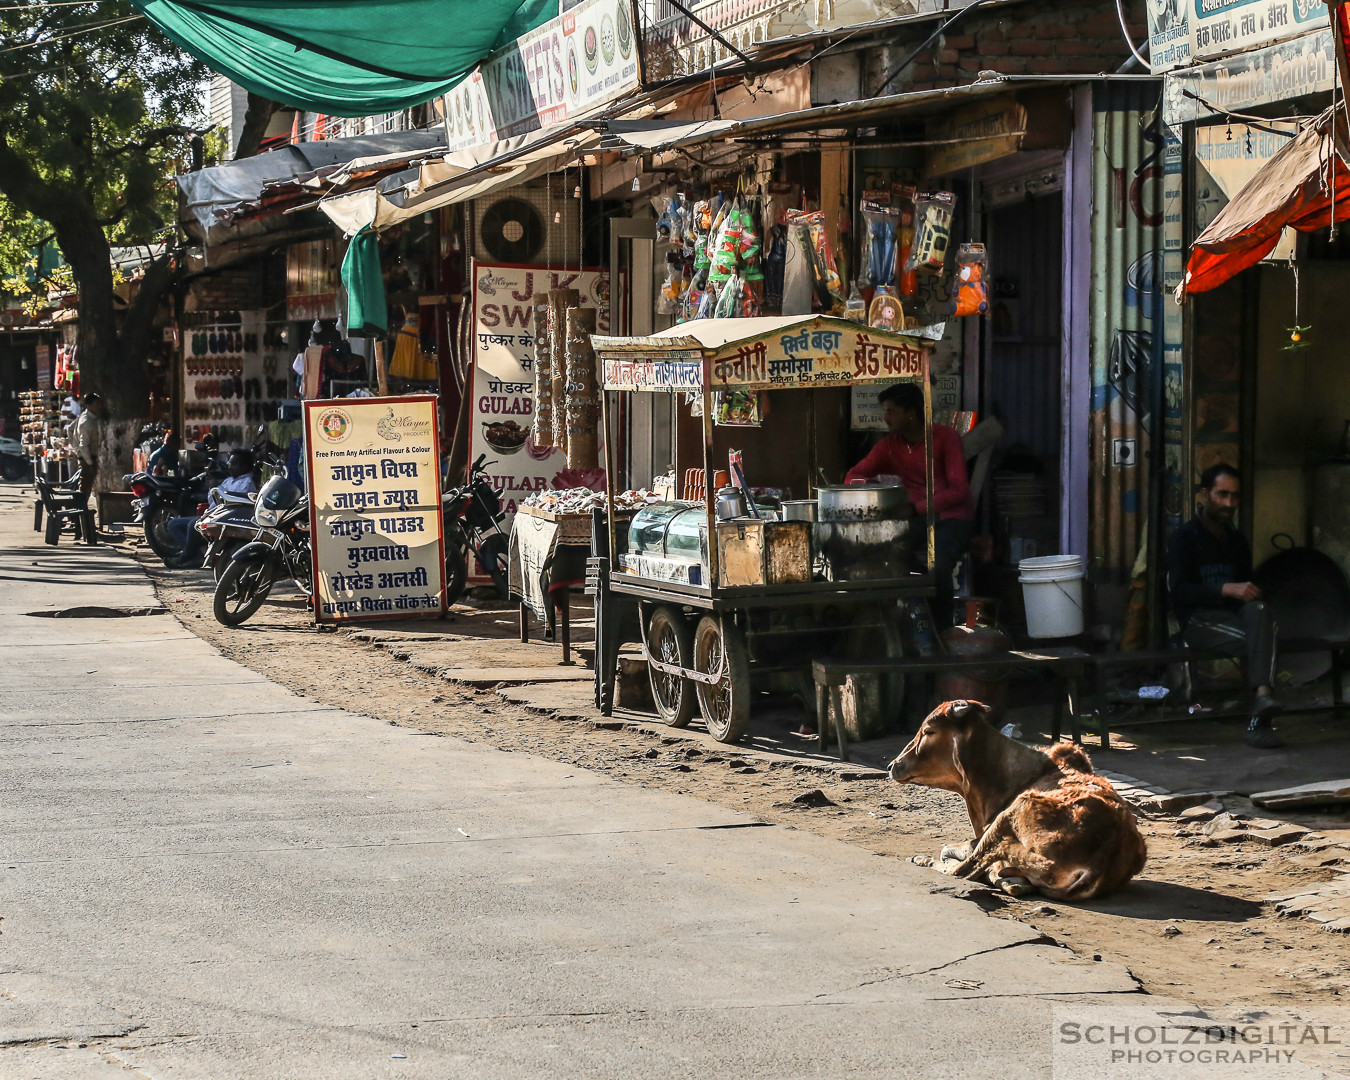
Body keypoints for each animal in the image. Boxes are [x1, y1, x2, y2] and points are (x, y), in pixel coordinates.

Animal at [891, 696, 1144, 896]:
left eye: (928, 731)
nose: (894, 765)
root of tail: (1108, 849)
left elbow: (950, 852)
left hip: (1012, 815)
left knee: (966, 870)